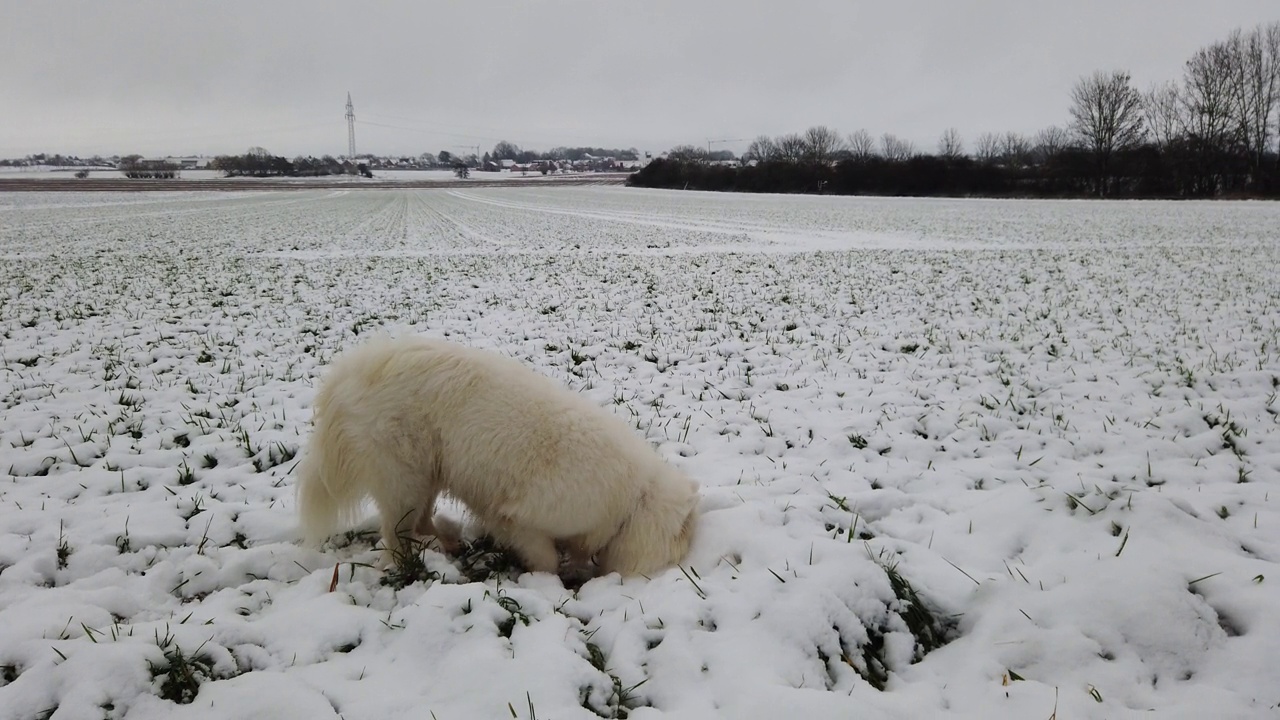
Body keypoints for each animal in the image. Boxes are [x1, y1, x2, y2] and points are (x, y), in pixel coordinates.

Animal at [293, 333, 701, 573]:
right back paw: (413, 562)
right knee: (396, 534)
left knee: (421, 521)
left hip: (428, 472)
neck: (632, 501)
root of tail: (350, 370)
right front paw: (551, 582)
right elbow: (545, 557)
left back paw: (447, 544)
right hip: (402, 477)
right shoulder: (519, 518)